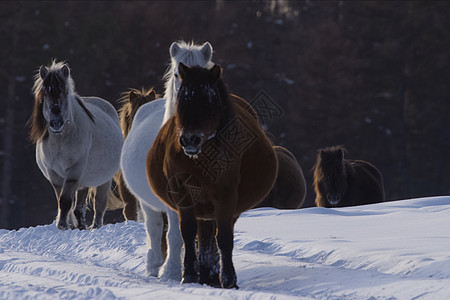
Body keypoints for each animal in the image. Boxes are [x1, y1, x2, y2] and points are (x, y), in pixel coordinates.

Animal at [29, 60, 123, 230]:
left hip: (104, 180)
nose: (56, 123)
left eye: (65, 92)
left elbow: (66, 201)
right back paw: (80, 226)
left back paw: (95, 226)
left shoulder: (74, 172)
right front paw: (66, 225)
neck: (61, 142)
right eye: (45, 93)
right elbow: (63, 202)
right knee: (80, 207)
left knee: (99, 204)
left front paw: (62, 225)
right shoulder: (55, 174)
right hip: (84, 181)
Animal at [121, 41, 214, 280]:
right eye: (177, 74)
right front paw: (172, 272)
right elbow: (175, 236)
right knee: (154, 230)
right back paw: (155, 266)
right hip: (147, 203)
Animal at [147, 62, 278, 288]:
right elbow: (188, 233)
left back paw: (212, 276)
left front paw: (229, 280)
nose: (190, 140)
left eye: (209, 103)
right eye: (182, 100)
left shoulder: (226, 196)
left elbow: (224, 238)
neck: (201, 159)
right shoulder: (184, 193)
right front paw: (190, 275)